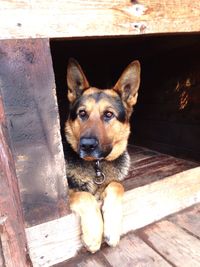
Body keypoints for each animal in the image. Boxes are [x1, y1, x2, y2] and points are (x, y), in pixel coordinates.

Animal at [65, 58, 140, 253]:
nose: (86, 145)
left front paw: (112, 229)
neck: (97, 166)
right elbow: (85, 196)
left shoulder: (115, 184)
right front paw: (93, 235)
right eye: (82, 113)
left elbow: (116, 185)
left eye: (108, 114)